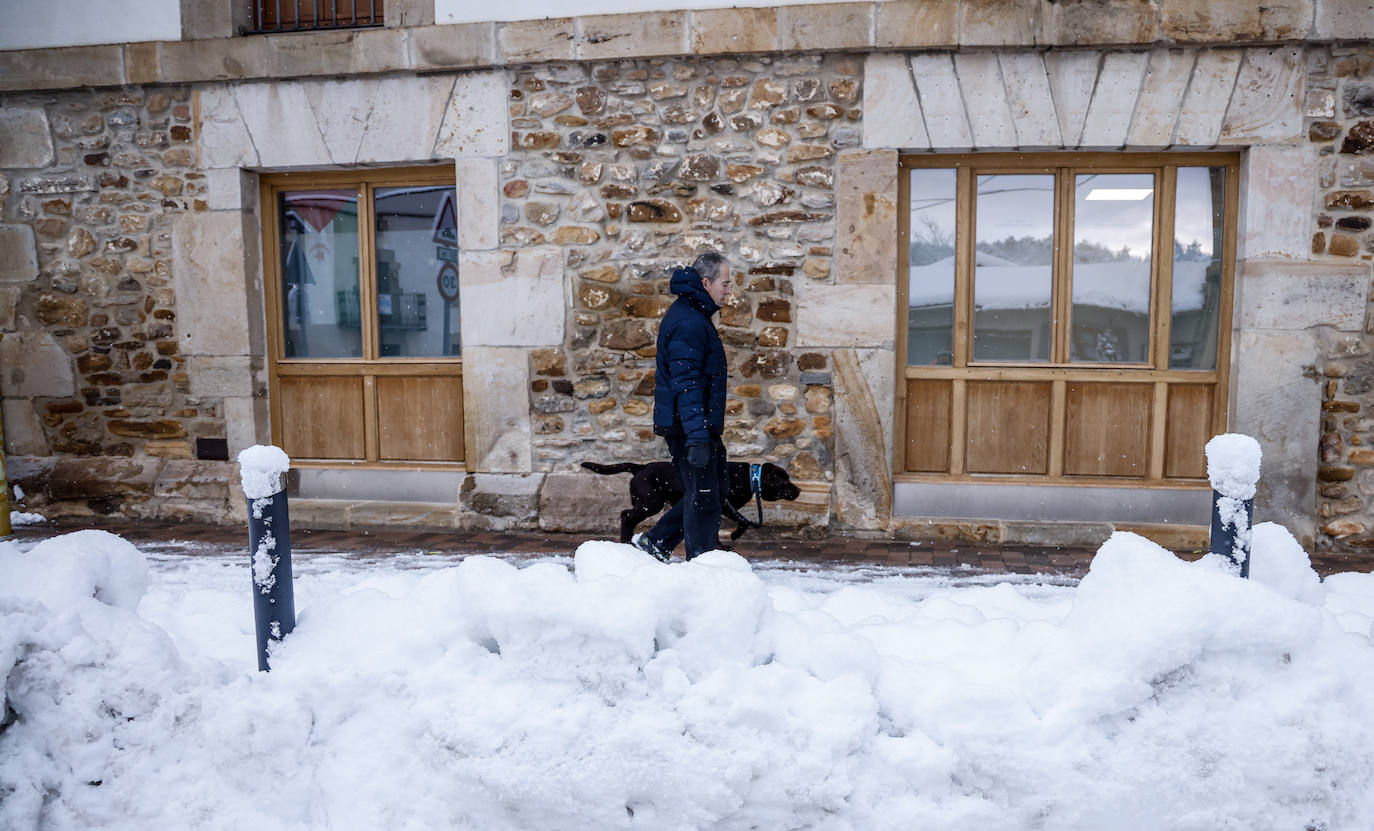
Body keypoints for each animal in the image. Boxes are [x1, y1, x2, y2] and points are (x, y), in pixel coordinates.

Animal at [582, 461, 802, 543]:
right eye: (785, 481)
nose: (799, 490)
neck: (750, 477)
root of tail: (639, 467)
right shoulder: (724, 505)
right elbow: (743, 521)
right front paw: (733, 535)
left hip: (646, 502)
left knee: (625, 514)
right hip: (651, 503)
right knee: (627, 515)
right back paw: (626, 539)